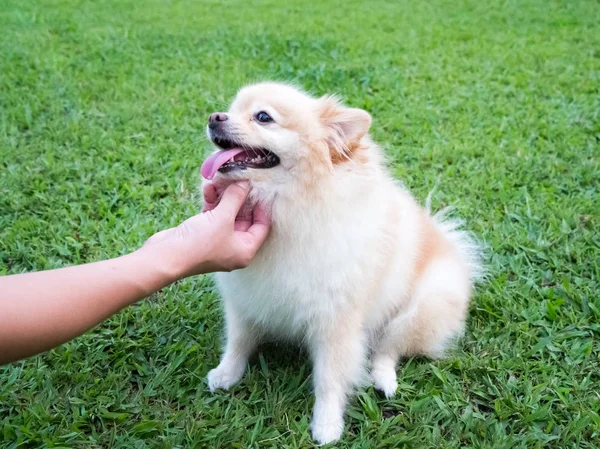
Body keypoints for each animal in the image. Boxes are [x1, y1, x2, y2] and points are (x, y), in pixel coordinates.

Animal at [199, 82, 480, 442]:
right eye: (232, 109)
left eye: (263, 117)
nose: (215, 117)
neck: (290, 208)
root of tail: (451, 245)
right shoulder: (245, 300)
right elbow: (238, 341)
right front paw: (227, 373)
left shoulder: (336, 323)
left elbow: (330, 378)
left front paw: (327, 423)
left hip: (421, 309)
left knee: (388, 349)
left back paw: (384, 379)